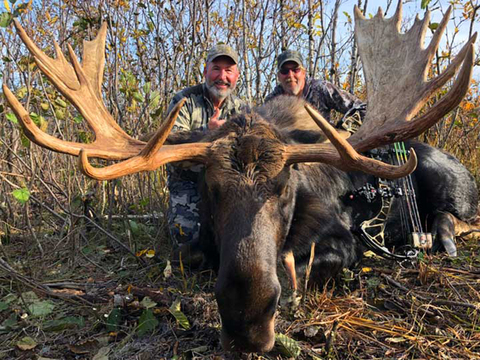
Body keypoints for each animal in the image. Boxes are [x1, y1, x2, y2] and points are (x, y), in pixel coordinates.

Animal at [4, 1, 480, 352]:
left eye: (286, 189)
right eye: (209, 189)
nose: (246, 319)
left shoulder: (342, 239)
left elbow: (308, 263)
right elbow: (192, 254)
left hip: (445, 177)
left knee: (457, 217)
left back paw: (444, 238)